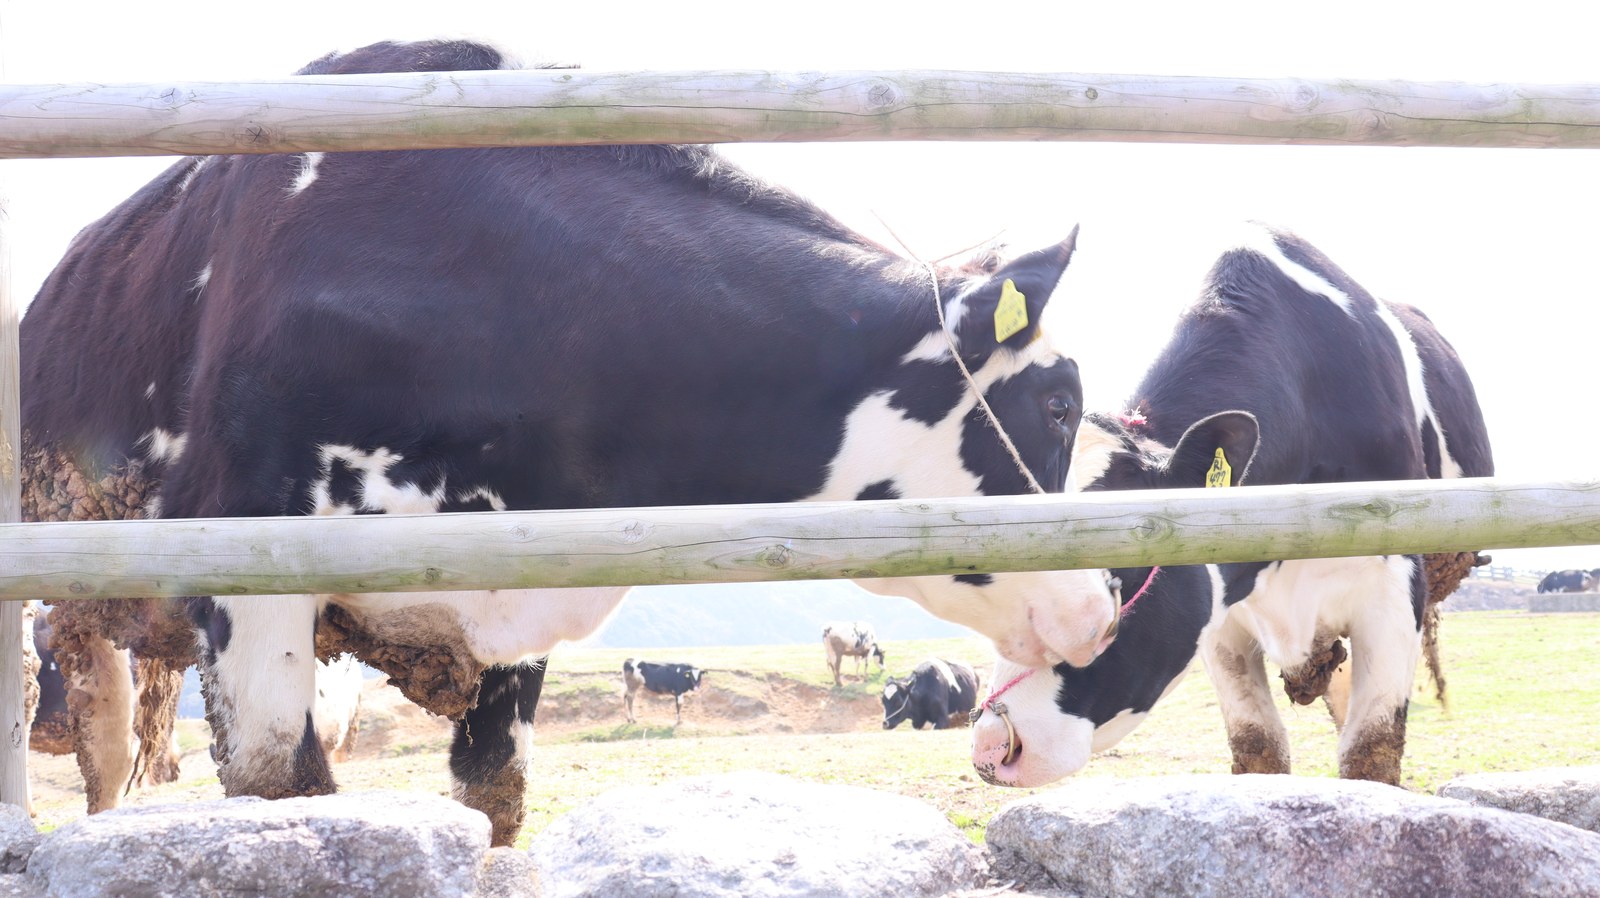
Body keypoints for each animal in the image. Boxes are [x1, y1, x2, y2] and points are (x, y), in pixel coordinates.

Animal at [19, 39, 1118, 847]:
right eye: (1062, 404)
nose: (1101, 606)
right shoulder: (247, 563)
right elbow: (281, 787)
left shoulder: (523, 585)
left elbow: (494, 793)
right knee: (101, 754)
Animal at [971, 224, 1493, 790]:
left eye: (1118, 574)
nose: (993, 743)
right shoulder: (1220, 613)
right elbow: (1258, 746)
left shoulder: (1393, 588)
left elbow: (1369, 754)